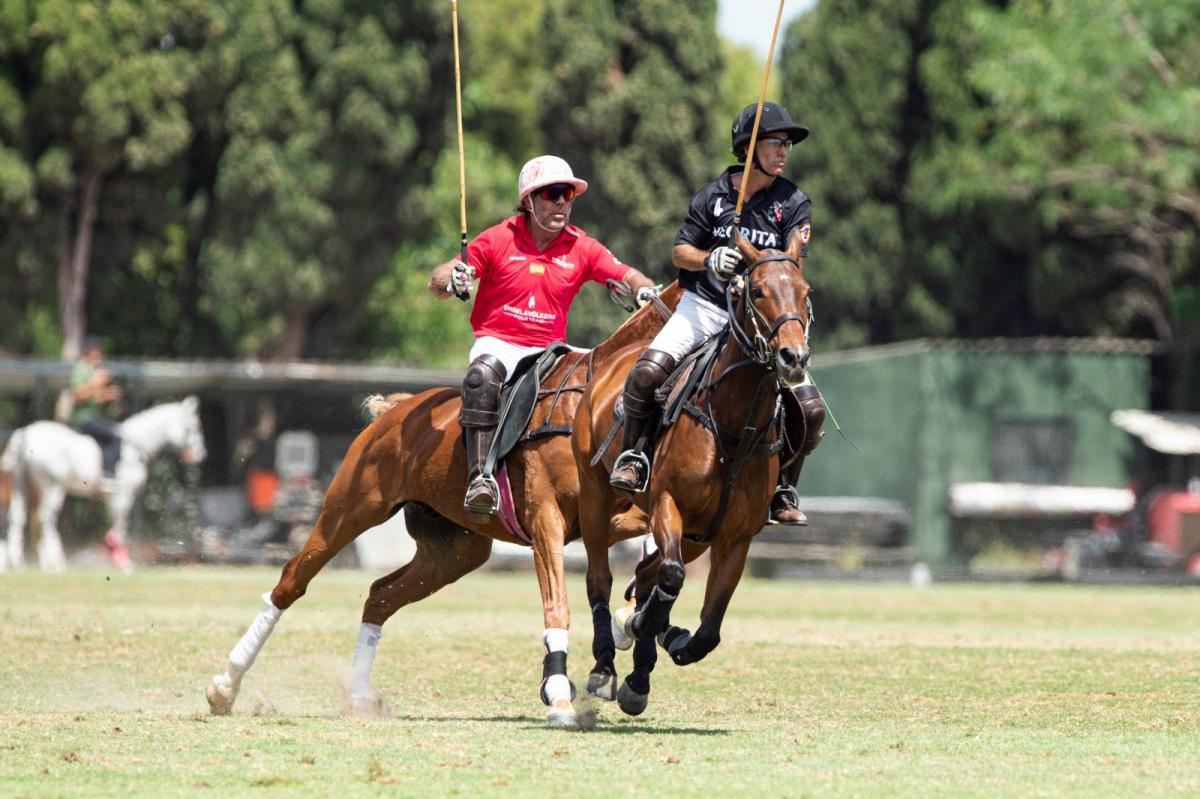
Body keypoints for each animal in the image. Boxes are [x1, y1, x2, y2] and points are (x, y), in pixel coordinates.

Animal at [0, 393, 205, 568]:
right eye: (193, 428)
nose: (201, 453)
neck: (135, 446)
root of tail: (24, 435)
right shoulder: (123, 494)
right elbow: (120, 526)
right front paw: (121, 560)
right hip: (52, 486)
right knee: (46, 518)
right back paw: (57, 562)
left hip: (21, 484)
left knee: (18, 517)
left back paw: (21, 562)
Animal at [201, 283, 681, 724]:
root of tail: (395, 410)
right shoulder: (547, 520)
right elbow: (557, 605)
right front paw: (560, 692)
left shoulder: (611, 513)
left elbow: (656, 542)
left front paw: (631, 618)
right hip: (349, 510)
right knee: (291, 582)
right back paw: (225, 687)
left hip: (455, 550)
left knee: (379, 596)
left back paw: (358, 698)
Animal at [573, 231, 816, 715]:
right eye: (757, 291)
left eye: (805, 292)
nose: (793, 357)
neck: (735, 426)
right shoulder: (668, 504)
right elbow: (670, 577)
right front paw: (642, 628)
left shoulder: (735, 536)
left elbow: (709, 627)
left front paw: (668, 641)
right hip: (596, 496)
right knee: (602, 578)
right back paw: (606, 665)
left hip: (695, 535)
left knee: (645, 571)